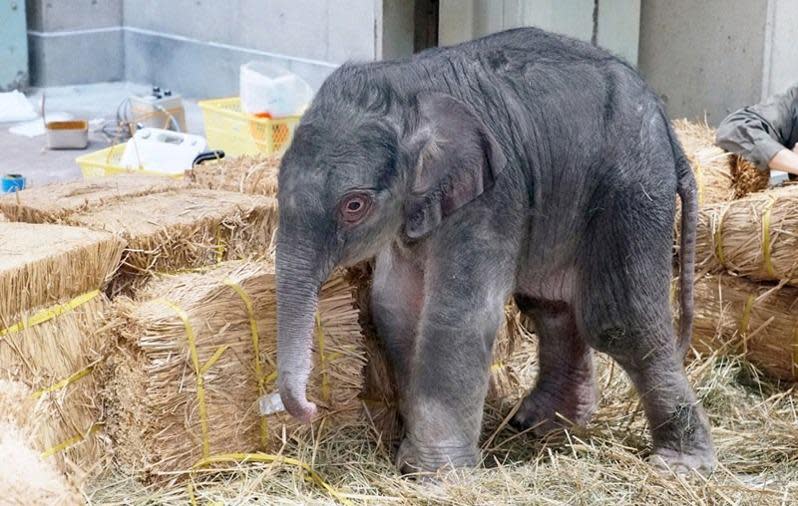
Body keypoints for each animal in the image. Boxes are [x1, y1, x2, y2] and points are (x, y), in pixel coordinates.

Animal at [276, 27, 720, 476]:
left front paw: (435, 475)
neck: (407, 87)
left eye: (354, 206)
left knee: (619, 321)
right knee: (551, 307)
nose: (312, 409)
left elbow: (456, 314)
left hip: (632, 189)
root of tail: (669, 130)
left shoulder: (491, 197)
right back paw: (541, 425)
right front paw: (413, 459)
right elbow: (393, 306)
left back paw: (679, 464)